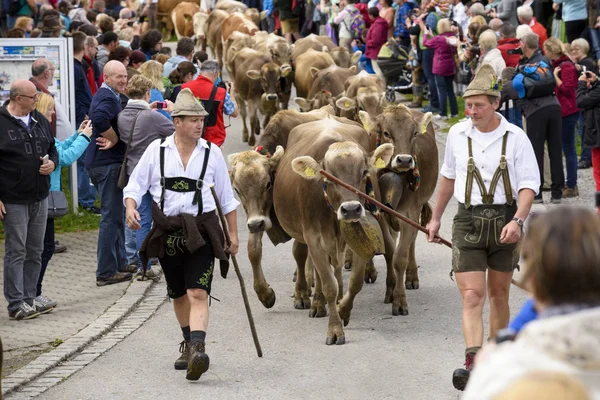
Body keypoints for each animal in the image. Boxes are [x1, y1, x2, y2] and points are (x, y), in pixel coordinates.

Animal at [276, 116, 394, 344]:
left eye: (364, 172)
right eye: (328, 176)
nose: (351, 209)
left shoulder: (358, 237)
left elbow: (355, 283)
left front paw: (343, 310)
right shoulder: (313, 238)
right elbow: (328, 285)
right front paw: (335, 328)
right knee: (305, 260)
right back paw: (311, 301)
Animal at [358, 105, 438, 316]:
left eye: (415, 133)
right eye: (386, 133)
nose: (404, 160)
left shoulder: (409, 214)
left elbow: (400, 257)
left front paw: (399, 300)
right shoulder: (380, 213)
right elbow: (389, 251)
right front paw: (390, 289)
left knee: (412, 242)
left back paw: (411, 276)